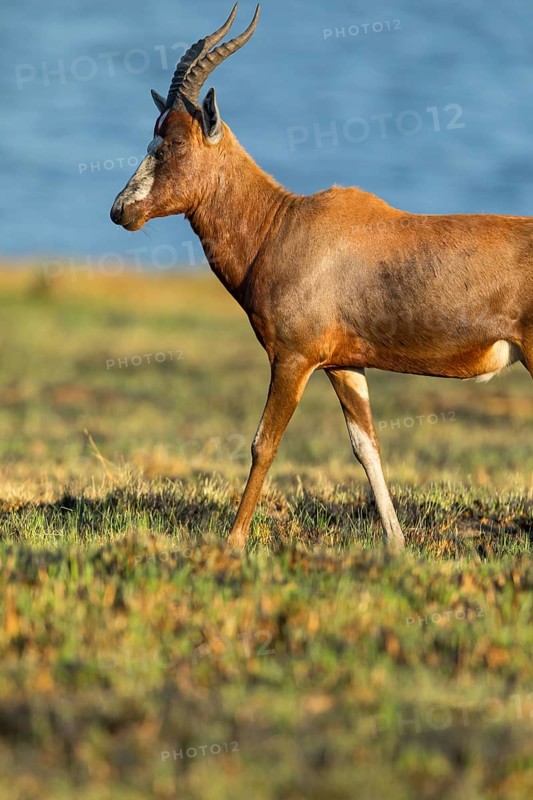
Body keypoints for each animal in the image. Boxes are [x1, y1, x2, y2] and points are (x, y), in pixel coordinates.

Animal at [110, 4, 533, 552]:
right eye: (153, 136)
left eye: (173, 142)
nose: (121, 211)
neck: (283, 223)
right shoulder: (343, 365)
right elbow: (367, 447)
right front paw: (397, 544)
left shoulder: (293, 359)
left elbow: (263, 444)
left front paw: (233, 542)